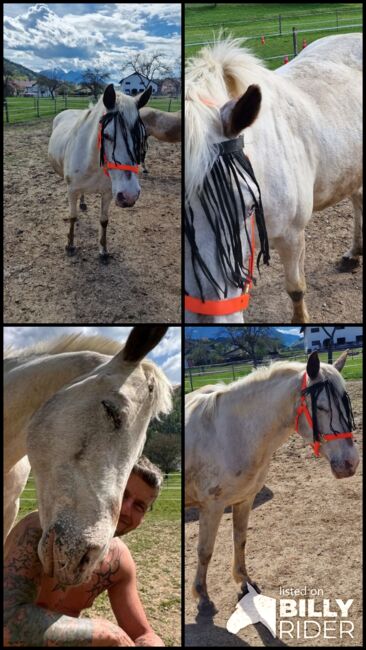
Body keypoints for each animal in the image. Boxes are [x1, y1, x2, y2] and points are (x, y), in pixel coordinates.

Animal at [48, 83, 152, 260]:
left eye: (142, 135)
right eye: (107, 135)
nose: (129, 195)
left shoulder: (108, 193)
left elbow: (104, 220)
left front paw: (103, 250)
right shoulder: (72, 190)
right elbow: (72, 217)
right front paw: (70, 245)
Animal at [187, 350, 358, 612]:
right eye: (321, 407)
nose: (351, 463)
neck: (230, 433)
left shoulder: (245, 500)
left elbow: (240, 540)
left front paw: (244, 581)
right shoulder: (211, 507)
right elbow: (205, 551)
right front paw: (203, 597)